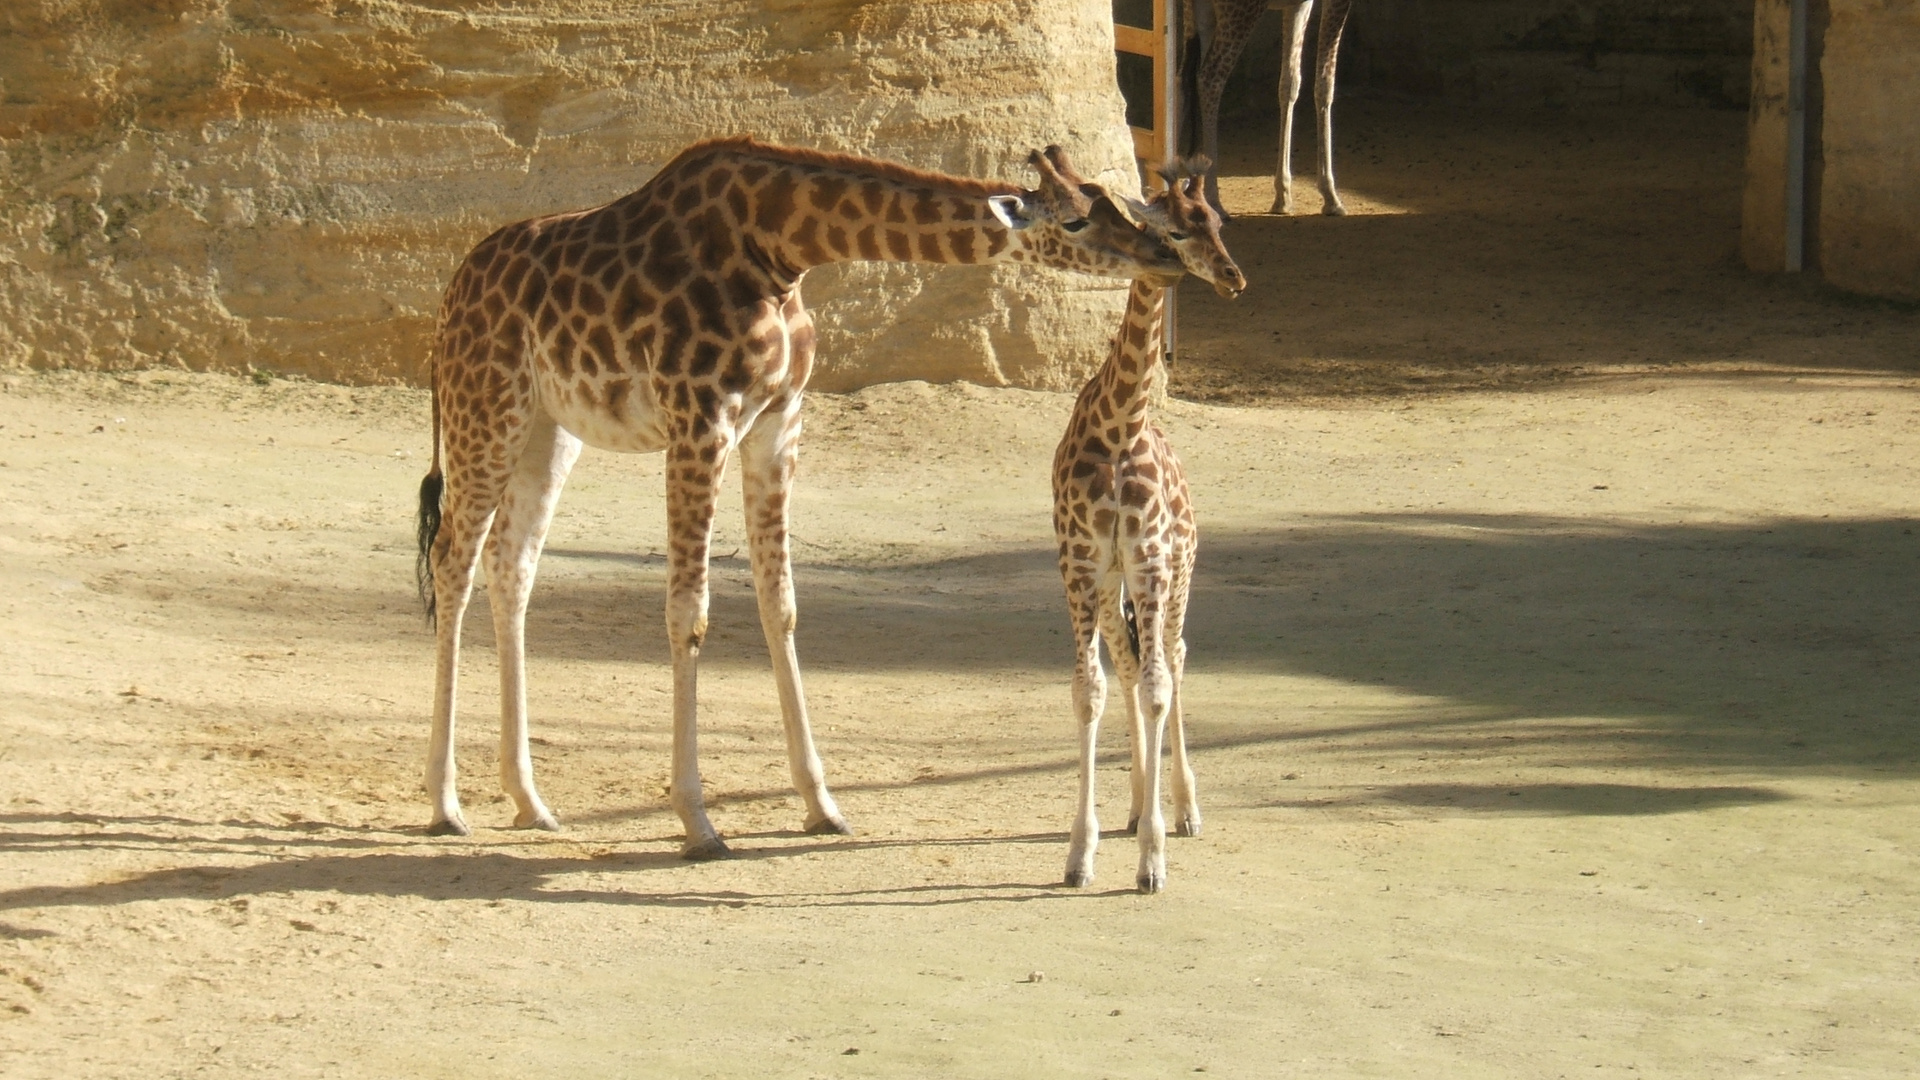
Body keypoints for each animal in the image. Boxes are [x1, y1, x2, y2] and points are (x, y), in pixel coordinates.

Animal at [414, 136, 1182, 857]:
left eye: (1119, 202)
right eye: (1077, 219)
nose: (1164, 253)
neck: (782, 248)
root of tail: (448, 300)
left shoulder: (778, 420)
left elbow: (779, 603)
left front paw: (822, 805)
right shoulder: (700, 422)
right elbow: (688, 614)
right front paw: (698, 822)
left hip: (548, 429)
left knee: (511, 567)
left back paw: (530, 801)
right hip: (486, 411)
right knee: (453, 560)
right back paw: (446, 805)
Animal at [1052, 157, 1244, 891]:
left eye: (1218, 221)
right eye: (1169, 228)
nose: (1232, 277)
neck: (1120, 424)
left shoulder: (1153, 559)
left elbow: (1161, 686)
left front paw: (1153, 859)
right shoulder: (1082, 563)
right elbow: (1092, 691)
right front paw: (1081, 853)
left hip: (1177, 573)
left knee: (1175, 658)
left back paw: (1183, 810)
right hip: (1114, 588)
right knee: (1133, 665)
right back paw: (1136, 806)